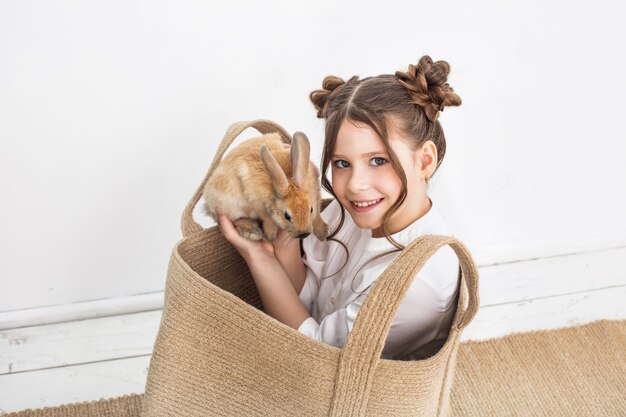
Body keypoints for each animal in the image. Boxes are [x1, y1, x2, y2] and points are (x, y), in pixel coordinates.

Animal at [202, 129, 330, 240]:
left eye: (311, 209)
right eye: (287, 216)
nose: (304, 234)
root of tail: (208, 203)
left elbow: (317, 216)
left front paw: (323, 232)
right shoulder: (257, 204)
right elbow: (268, 219)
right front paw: (270, 236)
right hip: (229, 207)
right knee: (232, 219)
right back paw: (252, 231)